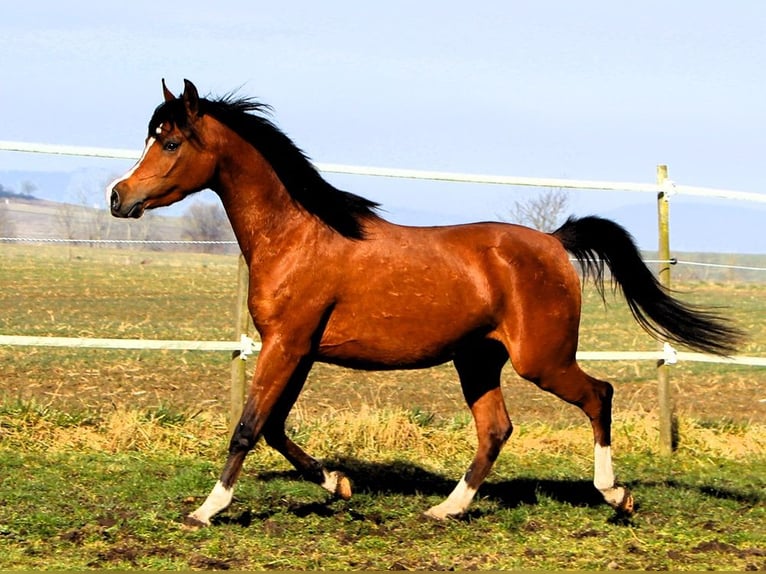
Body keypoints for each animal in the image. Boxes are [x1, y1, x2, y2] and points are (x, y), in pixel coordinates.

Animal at [108, 79, 744, 528]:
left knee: (599, 396)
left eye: (169, 142)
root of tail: (555, 241)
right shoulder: (297, 349)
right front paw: (339, 484)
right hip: (478, 358)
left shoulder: (287, 344)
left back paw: (616, 496)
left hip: (542, 359)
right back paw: (447, 508)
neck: (297, 235)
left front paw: (206, 510)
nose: (119, 198)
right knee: (496, 429)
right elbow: (273, 426)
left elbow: (247, 426)